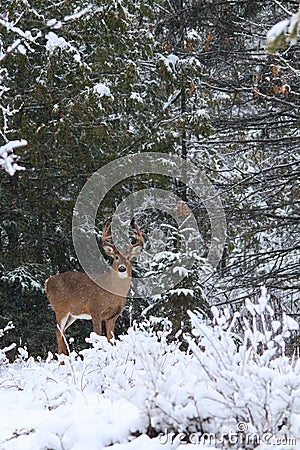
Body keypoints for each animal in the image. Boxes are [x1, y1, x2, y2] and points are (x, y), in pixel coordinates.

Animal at [45, 221, 144, 356]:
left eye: (129, 257)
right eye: (116, 257)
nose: (122, 268)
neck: (112, 291)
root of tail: (47, 282)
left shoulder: (113, 316)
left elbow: (110, 339)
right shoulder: (95, 309)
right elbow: (98, 336)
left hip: (72, 314)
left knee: (61, 332)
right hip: (61, 309)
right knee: (58, 332)